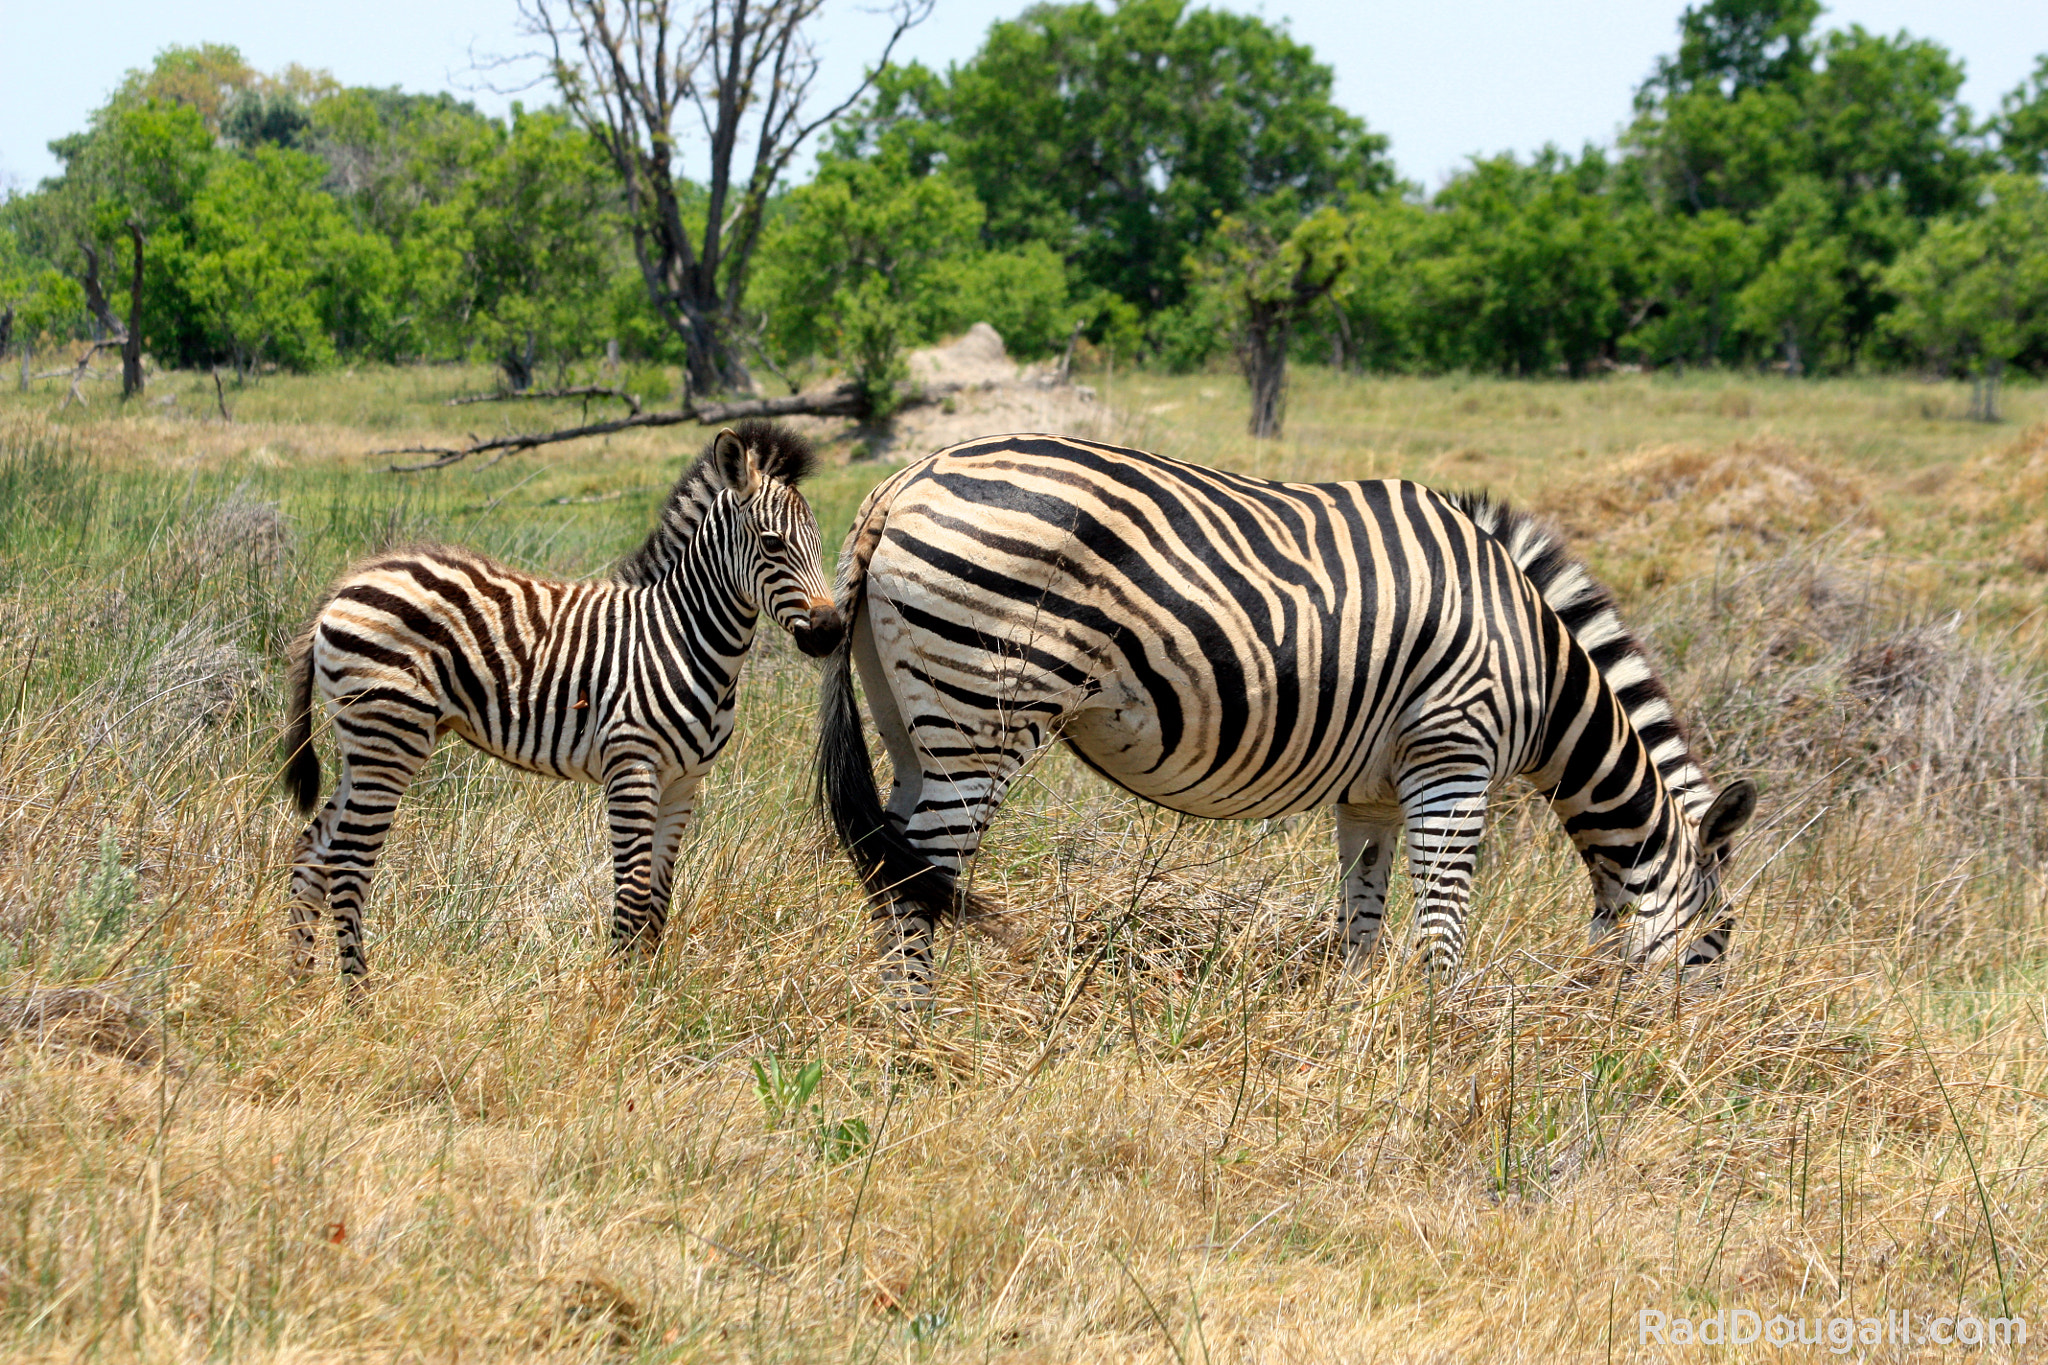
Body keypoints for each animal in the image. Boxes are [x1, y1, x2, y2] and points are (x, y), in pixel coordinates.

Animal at [282, 421, 841, 981]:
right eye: (772, 544)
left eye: (819, 541)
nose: (830, 632)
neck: (683, 636)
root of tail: (347, 584)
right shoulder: (631, 766)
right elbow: (633, 892)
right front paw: (615, 992)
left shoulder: (684, 781)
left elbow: (659, 898)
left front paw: (648, 990)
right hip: (388, 736)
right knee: (348, 862)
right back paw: (358, 992)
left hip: (365, 744)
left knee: (312, 849)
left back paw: (301, 983)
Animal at [816, 434, 1756, 995]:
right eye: (1719, 939)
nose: (1691, 1059)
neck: (1542, 665)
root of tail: (902, 481)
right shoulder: (1453, 755)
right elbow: (1443, 916)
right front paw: (1444, 1038)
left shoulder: (1374, 794)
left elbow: (1365, 909)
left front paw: (1356, 1016)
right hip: (985, 711)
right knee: (920, 867)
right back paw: (919, 1034)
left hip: (913, 717)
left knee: (892, 855)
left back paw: (889, 1019)